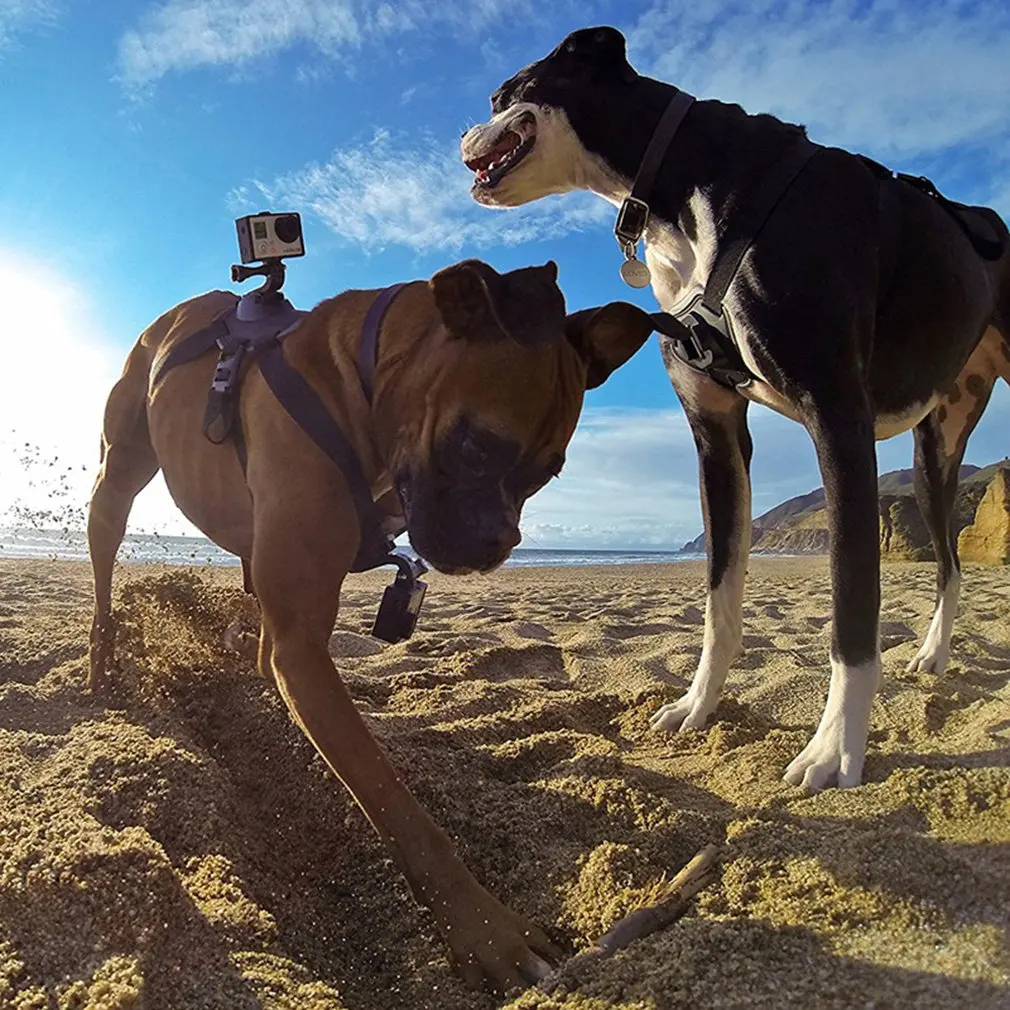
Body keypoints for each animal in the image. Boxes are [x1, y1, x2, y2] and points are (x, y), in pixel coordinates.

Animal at [90, 260, 650, 993]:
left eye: (547, 472)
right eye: (475, 445)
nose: (501, 541)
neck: (356, 387)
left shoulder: (296, 636)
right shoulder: (303, 647)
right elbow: (398, 805)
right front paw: (484, 930)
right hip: (120, 470)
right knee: (105, 554)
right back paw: (101, 661)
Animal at [462, 25, 1010, 787]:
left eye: (502, 95)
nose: (460, 137)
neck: (681, 188)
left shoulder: (838, 419)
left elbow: (853, 607)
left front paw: (834, 748)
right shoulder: (715, 437)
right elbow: (719, 597)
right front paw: (699, 704)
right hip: (939, 445)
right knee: (950, 562)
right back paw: (931, 656)